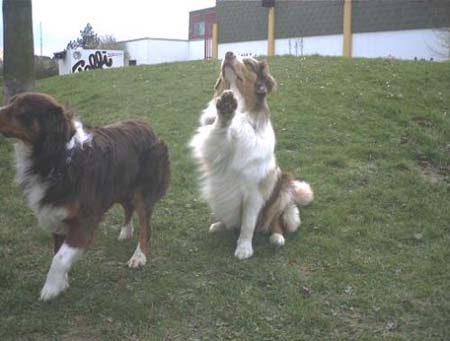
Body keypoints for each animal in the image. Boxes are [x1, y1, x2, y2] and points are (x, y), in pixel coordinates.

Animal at [190, 51, 312, 258]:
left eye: (248, 63)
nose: (228, 53)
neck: (241, 113)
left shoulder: (254, 191)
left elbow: (248, 224)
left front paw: (244, 248)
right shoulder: (214, 148)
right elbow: (219, 130)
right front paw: (225, 109)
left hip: (283, 189)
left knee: (275, 219)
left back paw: (277, 236)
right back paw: (221, 225)